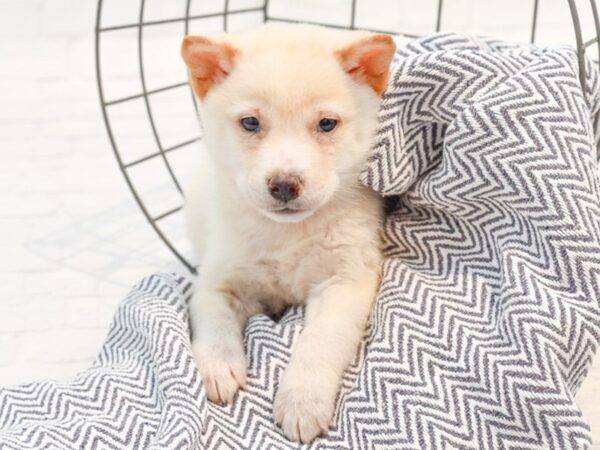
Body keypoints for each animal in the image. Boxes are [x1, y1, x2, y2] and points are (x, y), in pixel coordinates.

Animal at [182, 24, 398, 442]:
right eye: (251, 123)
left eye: (326, 124)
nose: (284, 184)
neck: (287, 235)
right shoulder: (216, 280)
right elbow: (213, 319)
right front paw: (218, 363)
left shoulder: (345, 280)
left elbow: (320, 341)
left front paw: (303, 400)